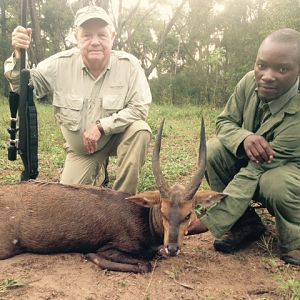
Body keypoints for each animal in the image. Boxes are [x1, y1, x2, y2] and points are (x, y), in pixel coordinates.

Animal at [0, 118, 223, 274]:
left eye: (188, 214)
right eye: (163, 211)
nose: (173, 248)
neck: (145, 220)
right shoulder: (111, 246)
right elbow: (145, 264)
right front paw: (91, 255)